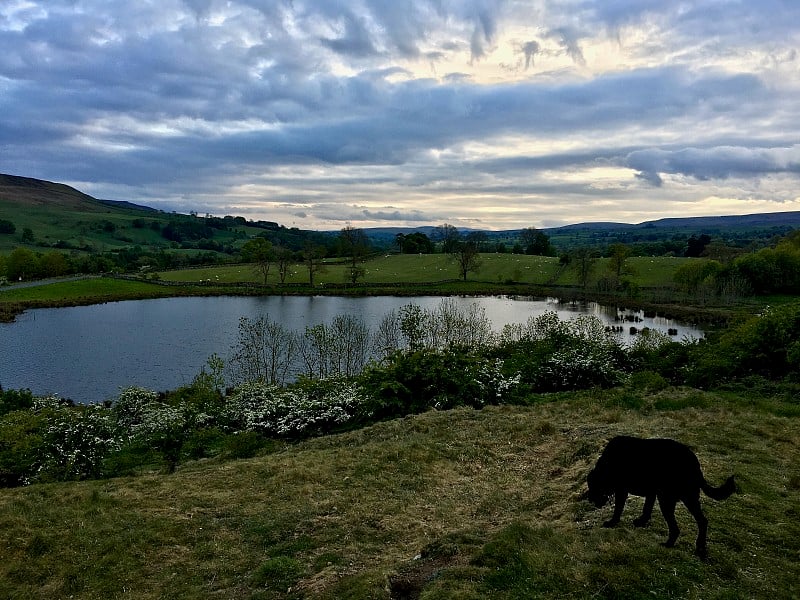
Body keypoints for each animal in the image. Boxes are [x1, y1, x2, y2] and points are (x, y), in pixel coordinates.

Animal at [584, 434, 736, 556]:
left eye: (593, 487)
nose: (591, 500)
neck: (608, 465)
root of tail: (695, 464)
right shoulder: (652, 492)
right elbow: (647, 508)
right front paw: (641, 521)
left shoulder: (622, 490)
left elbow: (618, 509)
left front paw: (612, 522)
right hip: (689, 498)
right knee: (702, 521)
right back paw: (700, 548)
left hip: (667, 500)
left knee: (676, 528)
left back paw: (668, 544)